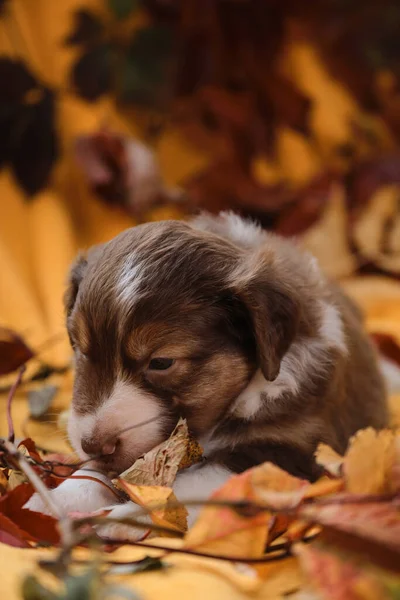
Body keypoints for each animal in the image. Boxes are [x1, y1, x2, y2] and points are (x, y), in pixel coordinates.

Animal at [25, 212, 388, 536]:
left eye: (162, 362)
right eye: (82, 350)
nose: (91, 444)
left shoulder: (290, 449)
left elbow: (196, 483)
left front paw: (123, 519)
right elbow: (97, 473)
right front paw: (52, 500)